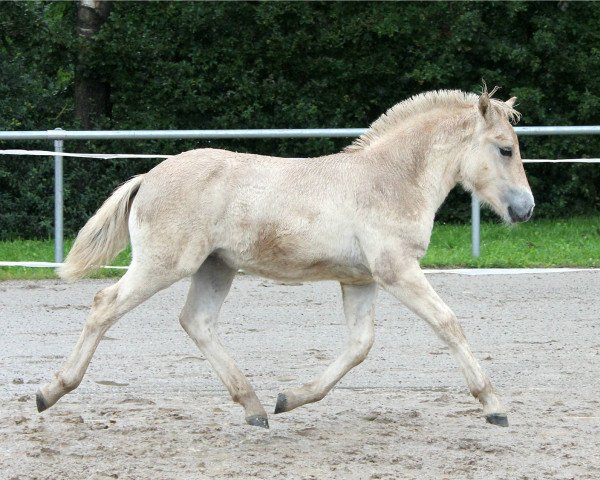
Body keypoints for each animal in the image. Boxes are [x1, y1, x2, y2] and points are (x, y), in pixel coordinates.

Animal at [36, 88, 536, 430]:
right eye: (505, 149)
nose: (526, 209)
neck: (390, 178)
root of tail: (149, 176)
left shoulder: (361, 280)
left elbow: (359, 345)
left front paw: (291, 398)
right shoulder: (396, 271)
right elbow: (447, 323)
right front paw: (494, 406)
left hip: (216, 267)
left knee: (196, 322)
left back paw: (256, 408)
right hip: (164, 265)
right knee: (104, 304)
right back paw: (49, 391)